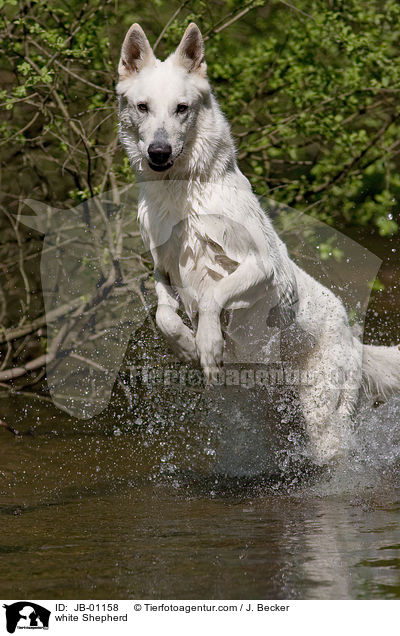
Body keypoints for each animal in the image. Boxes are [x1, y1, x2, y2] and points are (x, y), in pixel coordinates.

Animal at [115, 22, 400, 464]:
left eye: (181, 108)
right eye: (143, 107)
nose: (158, 153)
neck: (184, 195)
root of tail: (354, 338)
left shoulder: (262, 270)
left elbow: (212, 297)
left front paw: (209, 345)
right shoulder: (163, 269)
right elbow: (164, 316)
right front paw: (187, 348)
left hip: (322, 418)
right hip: (267, 412)